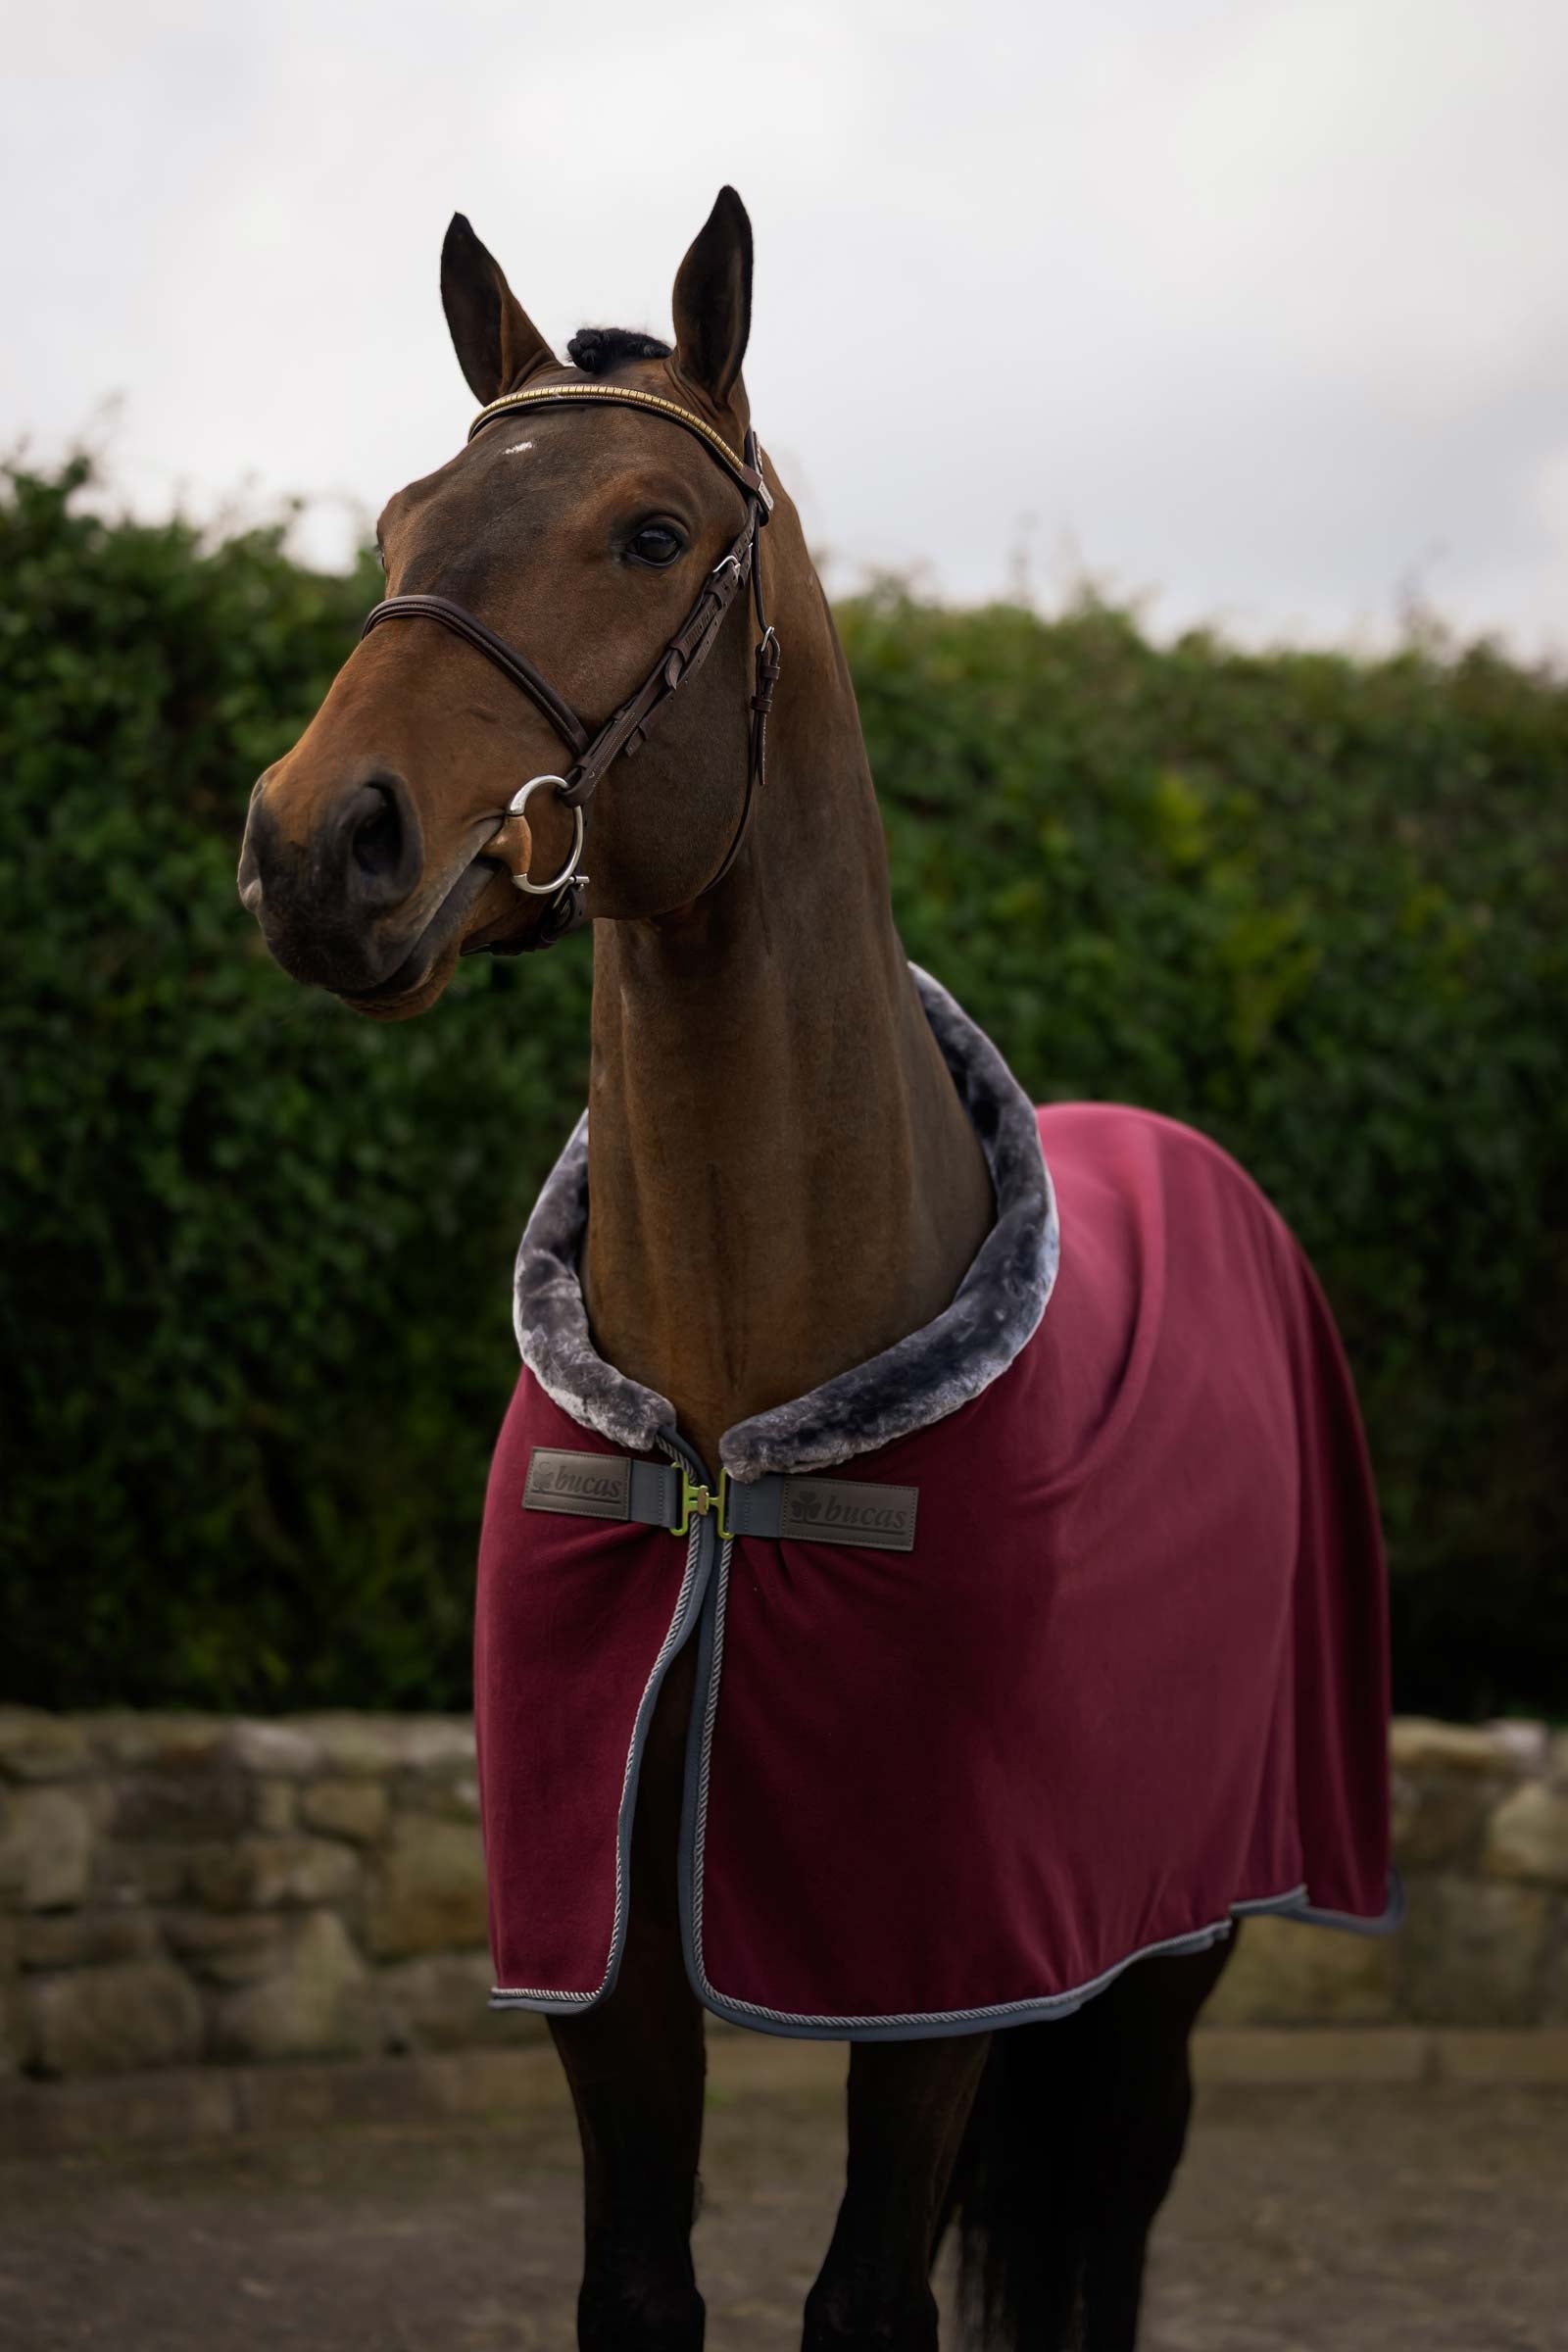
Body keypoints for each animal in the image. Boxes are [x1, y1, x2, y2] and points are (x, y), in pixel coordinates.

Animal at [238, 187, 1394, 2352]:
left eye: (645, 532)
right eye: (404, 520)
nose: (315, 846)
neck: (728, 1427)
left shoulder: (937, 1969)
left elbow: (874, 2302)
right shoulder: (609, 1969)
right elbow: (642, 2289)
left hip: (1169, 1956)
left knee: (1107, 2228)